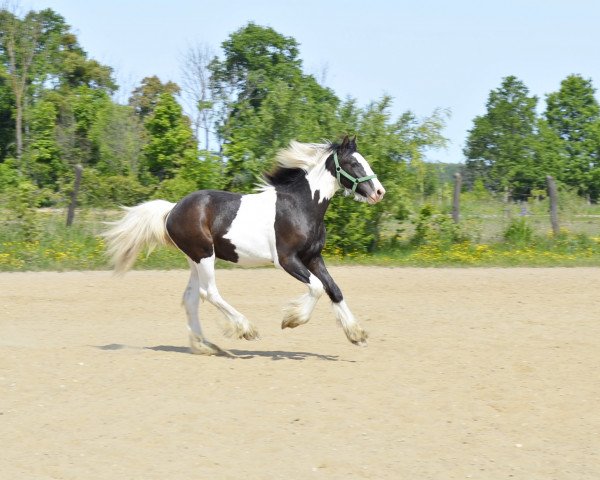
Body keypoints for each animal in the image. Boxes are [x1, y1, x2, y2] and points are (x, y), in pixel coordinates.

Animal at [102, 137, 384, 354]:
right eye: (353, 163)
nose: (379, 192)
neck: (301, 205)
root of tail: (171, 210)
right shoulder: (286, 260)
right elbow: (316, 287)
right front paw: (291, 320)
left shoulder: (313, 257)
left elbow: (333, 289)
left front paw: (357, 334)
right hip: (204, 255)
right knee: (209, 293)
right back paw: (246, 330)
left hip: (194, 259)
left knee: (192, 297)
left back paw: (205, 346)